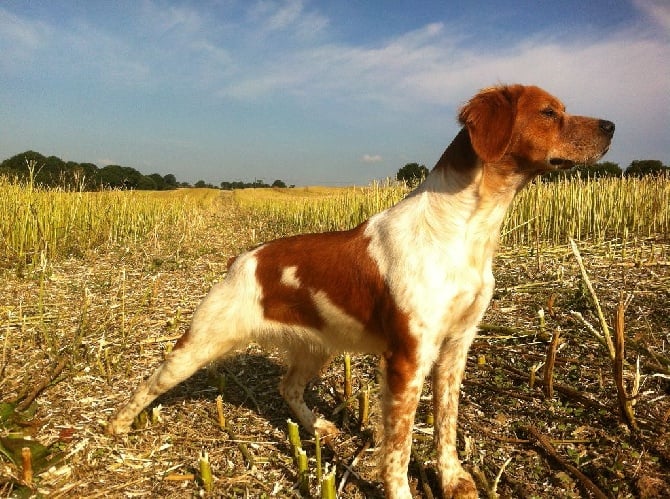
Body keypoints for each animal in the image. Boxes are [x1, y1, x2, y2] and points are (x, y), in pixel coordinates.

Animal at [106, 84, 616, 498]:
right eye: (548, 112)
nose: (611, 125)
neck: (465, 229)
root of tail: (243, 259)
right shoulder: (408, 357)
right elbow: (398, 449)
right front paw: (401, 491)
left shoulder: (455, 347)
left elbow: (446, 425)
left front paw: (452, 479)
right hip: (201, 342)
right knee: (151, 382)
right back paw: (116, 426)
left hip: (316, 347)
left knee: (288, 386)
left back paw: (317, 426)